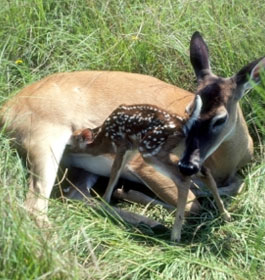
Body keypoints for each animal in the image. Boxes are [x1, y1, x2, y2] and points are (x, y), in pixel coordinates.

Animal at [68, 101, 229, 242]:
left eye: (69, 143)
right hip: (178, 150)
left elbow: (114, 172)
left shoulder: (123, 144)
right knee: (205, 171)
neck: (104, 140)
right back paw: (225, 215)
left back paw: (174, 235)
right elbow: (118, 171)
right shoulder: (131, 149)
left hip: (150, 149)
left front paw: (105, 201)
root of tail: (184, 123)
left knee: (182, 178)